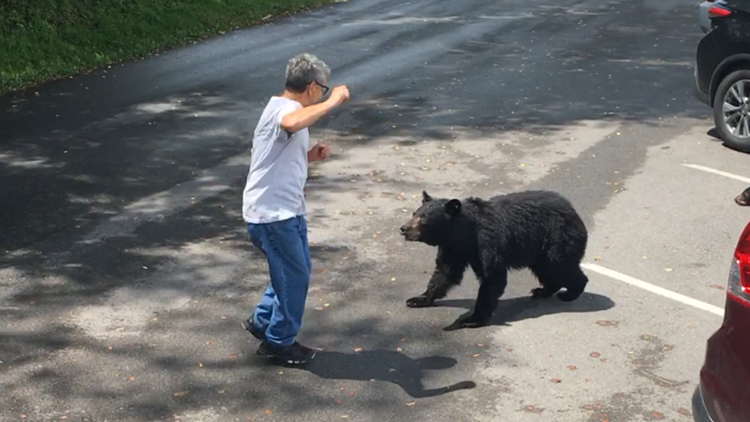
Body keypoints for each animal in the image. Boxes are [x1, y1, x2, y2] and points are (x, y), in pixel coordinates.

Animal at [399, 189, 589, 329]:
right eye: (414, 213)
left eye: (423, 218)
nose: (403, 228)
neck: (464, 234)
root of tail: (574, 212)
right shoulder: (453, 249)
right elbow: (445, 272)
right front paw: (418, 299)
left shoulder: (487, 243)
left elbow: (492, 278)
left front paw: (471, 319)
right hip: (540, 251)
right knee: (547, 270)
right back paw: (543, 291)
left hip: (556, 240)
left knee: (560, 266)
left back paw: (570, 293)